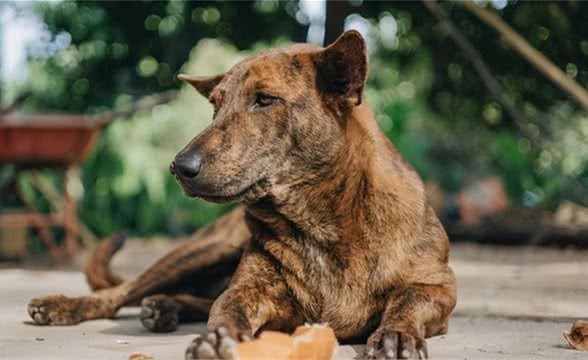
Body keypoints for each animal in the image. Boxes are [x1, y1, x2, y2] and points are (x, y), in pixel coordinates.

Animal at [27, 31, 458, 360]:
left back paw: (165, 305)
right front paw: (218, 340)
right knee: (122, 292)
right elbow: (226, 308)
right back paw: (65, 305)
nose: (179, 167)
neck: (323, 222)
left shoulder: (438, 289)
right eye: (215, 106)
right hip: (203, 250)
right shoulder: (250, 291)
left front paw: (396, 334)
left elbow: (405, 302)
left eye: (264, 99)